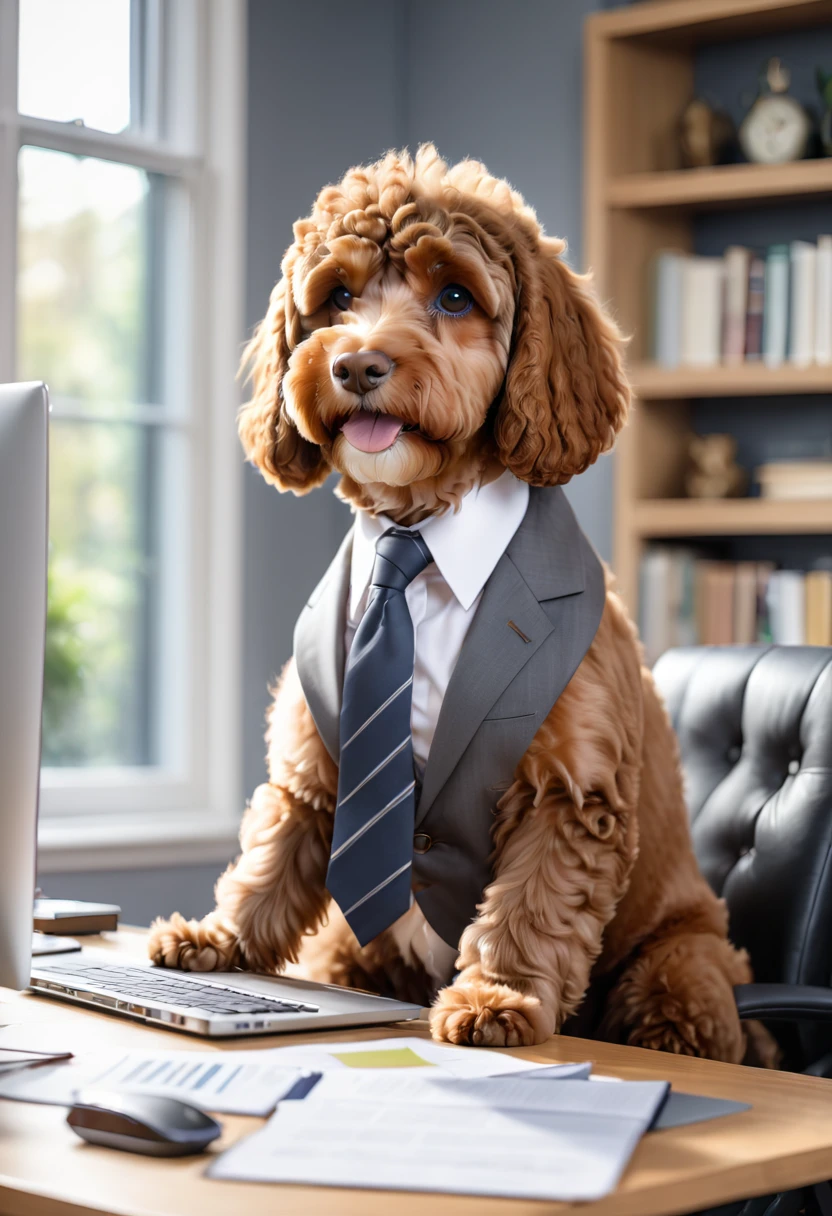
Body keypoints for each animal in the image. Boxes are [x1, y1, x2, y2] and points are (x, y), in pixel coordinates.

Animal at [147, 139, 759, 1055]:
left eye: (455, 296)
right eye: (338, 296)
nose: (356, 363)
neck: (419, 533)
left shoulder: (568, 792)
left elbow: (533, 903)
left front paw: (496, 996)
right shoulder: (315, 762)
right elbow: (273, 852)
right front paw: (222, 938)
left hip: (679, 959)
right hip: (347, 949)